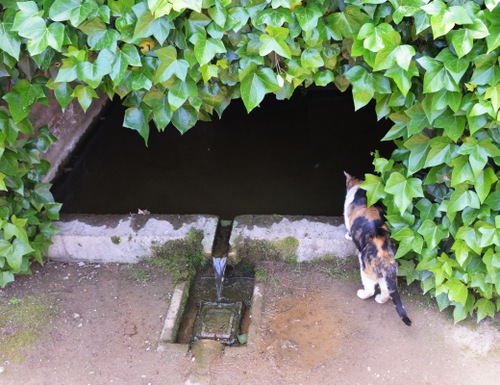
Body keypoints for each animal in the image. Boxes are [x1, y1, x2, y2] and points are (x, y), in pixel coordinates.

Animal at [344, 171, 410, 324]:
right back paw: (380, 299)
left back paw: (362, 294)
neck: (360, 187)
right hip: (389, 275)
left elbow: (349, 230)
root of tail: (386, 258)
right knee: (386, 291)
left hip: (365, 269)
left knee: (370, 290)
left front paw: (347, 236)